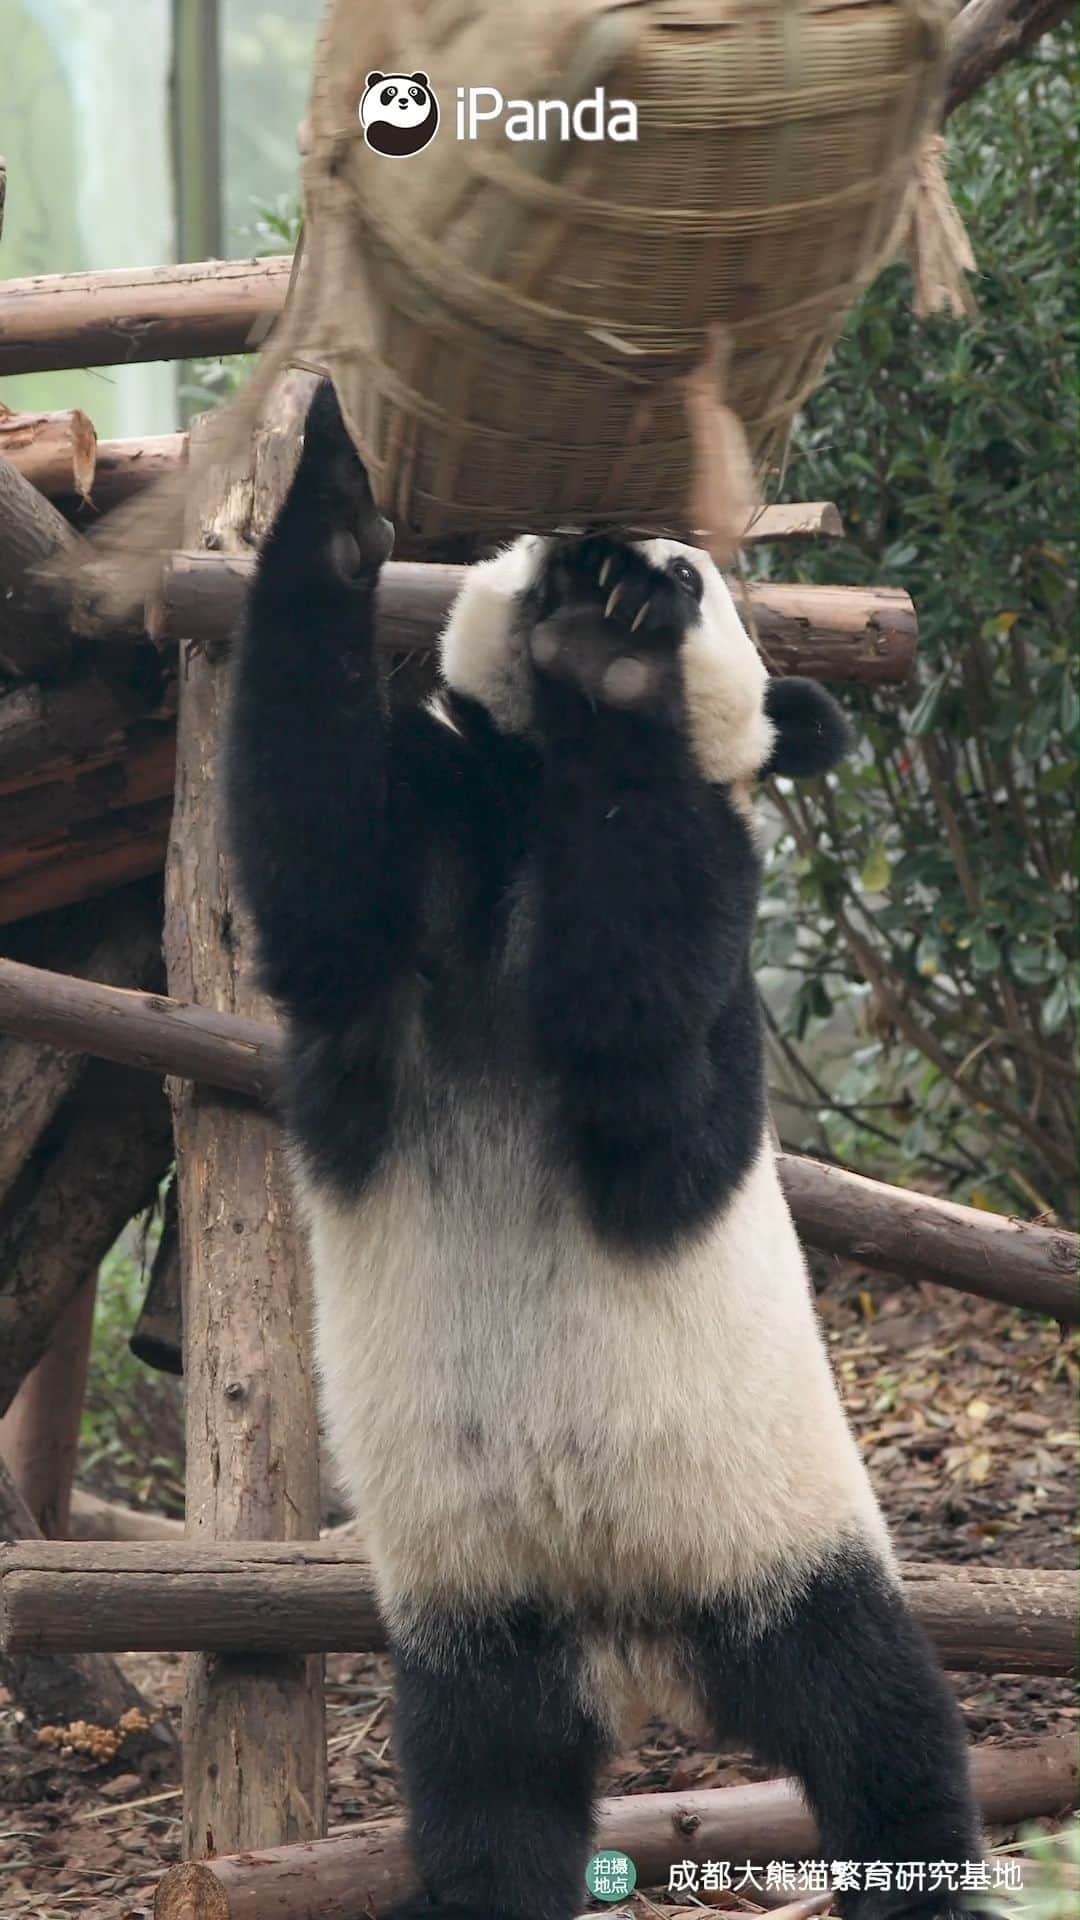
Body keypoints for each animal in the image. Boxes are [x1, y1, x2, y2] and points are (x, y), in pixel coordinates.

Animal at [225, 383, 983, 1920]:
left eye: (702, 570)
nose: (620, 563)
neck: (539, 805)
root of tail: (641, 1659)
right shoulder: (414, 879)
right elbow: (318, 874)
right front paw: (333, 494)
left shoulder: (709, 944)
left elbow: (639, 1069)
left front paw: (632, 674)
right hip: (471, 1628)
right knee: (487, 1801)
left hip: (787, 1545)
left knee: (885, 1731)